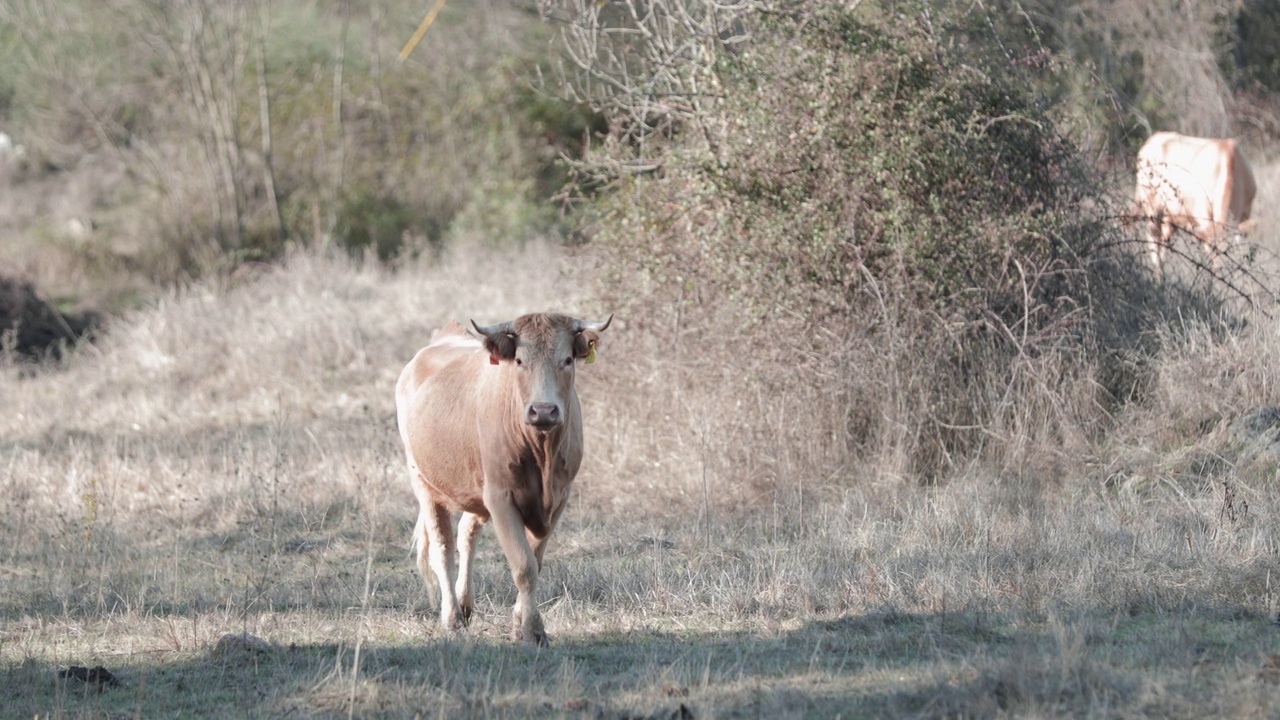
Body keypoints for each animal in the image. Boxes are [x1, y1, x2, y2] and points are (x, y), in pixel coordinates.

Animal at [394, 311, 609, 640]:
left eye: (567, 360)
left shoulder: (558, 498)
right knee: (443, 550)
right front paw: (533, 630)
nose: (543, 410)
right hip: (423, 482)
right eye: (519, 360)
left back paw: (466, 605)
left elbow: (535, 562)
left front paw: (521, 624)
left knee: (467, 535)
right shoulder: (501, 497)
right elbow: (523, 565)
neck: (541, 453)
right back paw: (452, 616)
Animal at [1136, 131, 1254, 269]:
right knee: (1154, 241)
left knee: (1164, 243)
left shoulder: (1244, 216)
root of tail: (1152, 139)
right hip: (1152, 210)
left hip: (1170, 218)